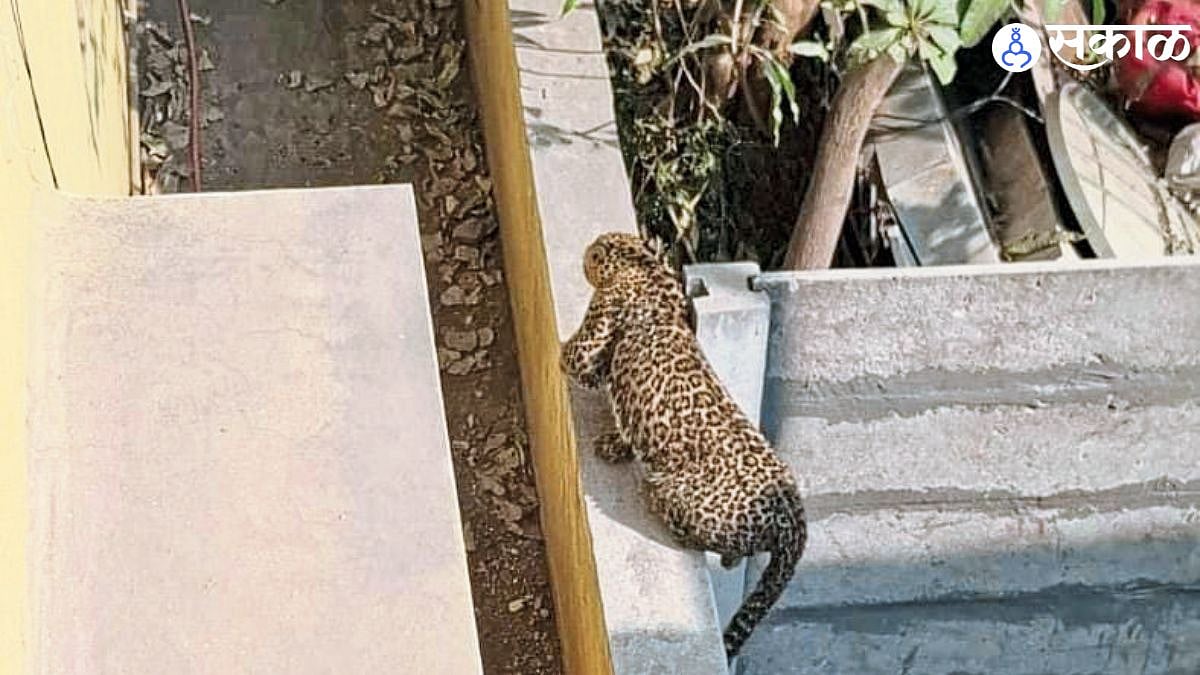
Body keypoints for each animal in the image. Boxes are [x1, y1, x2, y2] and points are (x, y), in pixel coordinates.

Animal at [560, 232, 807, 658]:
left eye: (594, 253)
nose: (586, 253)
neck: (646, 267)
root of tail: (793, 513)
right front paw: (617, 445)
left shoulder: (599, 324)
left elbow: (575, 358)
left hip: (678, 495)